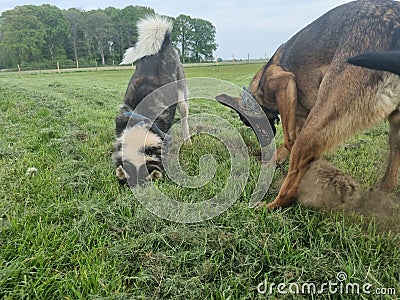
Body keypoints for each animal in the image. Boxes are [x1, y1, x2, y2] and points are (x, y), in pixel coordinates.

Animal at [217, 0, 400, 209]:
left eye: (247, 122)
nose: (263, 144)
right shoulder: (298, 117)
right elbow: (283, 146)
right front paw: (269, 163)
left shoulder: (285, 83)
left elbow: (289, 140)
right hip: (394, 129)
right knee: (393, 159)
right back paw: (383, 191)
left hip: (317, 123)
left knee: (290, 188)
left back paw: (269, 205)